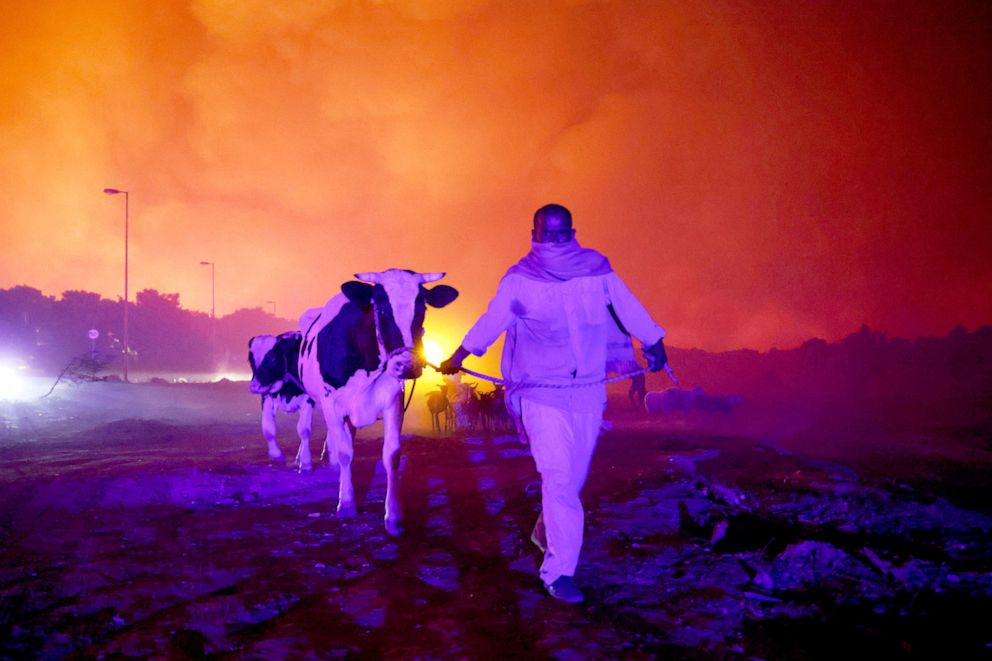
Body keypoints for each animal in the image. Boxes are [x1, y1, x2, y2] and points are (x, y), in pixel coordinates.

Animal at [247, 332, 314, 466]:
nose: (254, 387)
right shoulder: (267, 397)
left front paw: (305, 461)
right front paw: (277, 455)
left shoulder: (309, 399)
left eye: (273, 359)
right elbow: (268, 429)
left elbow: (304, 430)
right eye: (250, 360)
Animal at [298, 270, 462, 532]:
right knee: (308, 429)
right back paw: (306, 463)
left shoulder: (393, 401)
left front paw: (393, 516)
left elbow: (391, 455)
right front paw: (346, 503)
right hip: (309, 397)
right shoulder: (332, 403)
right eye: (382, 310)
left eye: (422, 309)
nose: (406, 365)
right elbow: (345, 453)